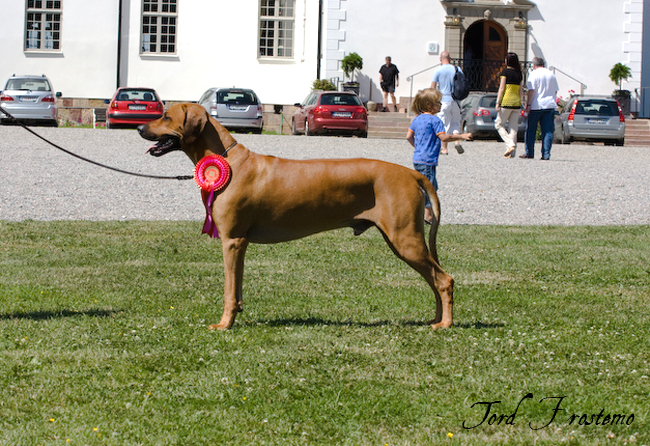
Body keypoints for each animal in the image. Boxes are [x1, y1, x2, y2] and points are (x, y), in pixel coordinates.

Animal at [138, 103, 450, 330]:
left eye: (166, 115)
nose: (140, 127)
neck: (228, 161)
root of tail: (411, 173)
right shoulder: (241, 244)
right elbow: (236, 288)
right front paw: (236, 314)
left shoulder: (232, 240)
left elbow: (228, 290)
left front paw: (224, 324)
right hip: (403, 241)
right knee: (434, 279)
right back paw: (435, 319)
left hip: (405, 239)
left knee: (444, 280)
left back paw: (445, 323)